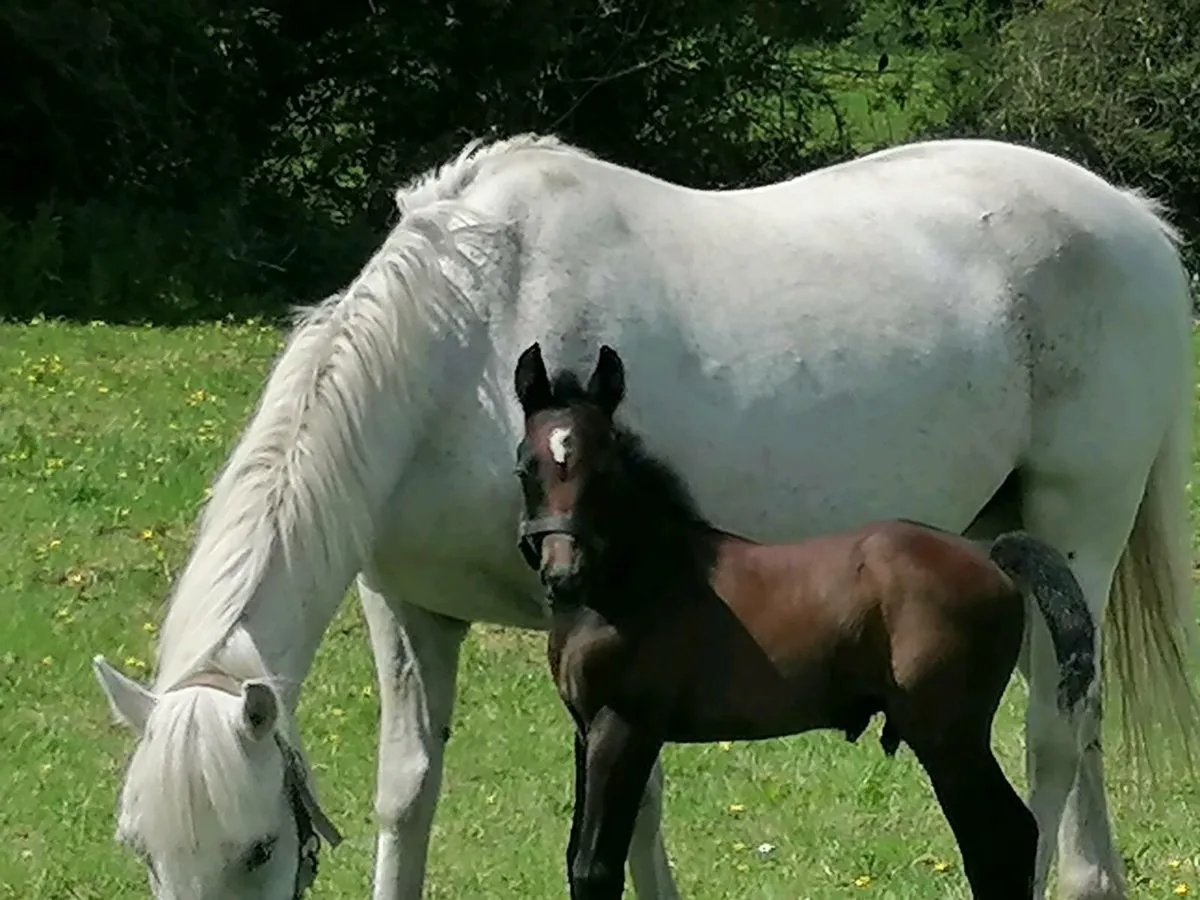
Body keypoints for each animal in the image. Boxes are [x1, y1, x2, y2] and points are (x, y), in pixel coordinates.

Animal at [512, 341, 1099, 899]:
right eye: (526, 467)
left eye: (603, 469)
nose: (562, 575)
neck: (638, 581)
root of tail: (993, 559)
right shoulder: (586, 728)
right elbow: (577, 860)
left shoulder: (625, 725)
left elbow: (595, 869)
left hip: (949, 734)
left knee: (1002, 838)